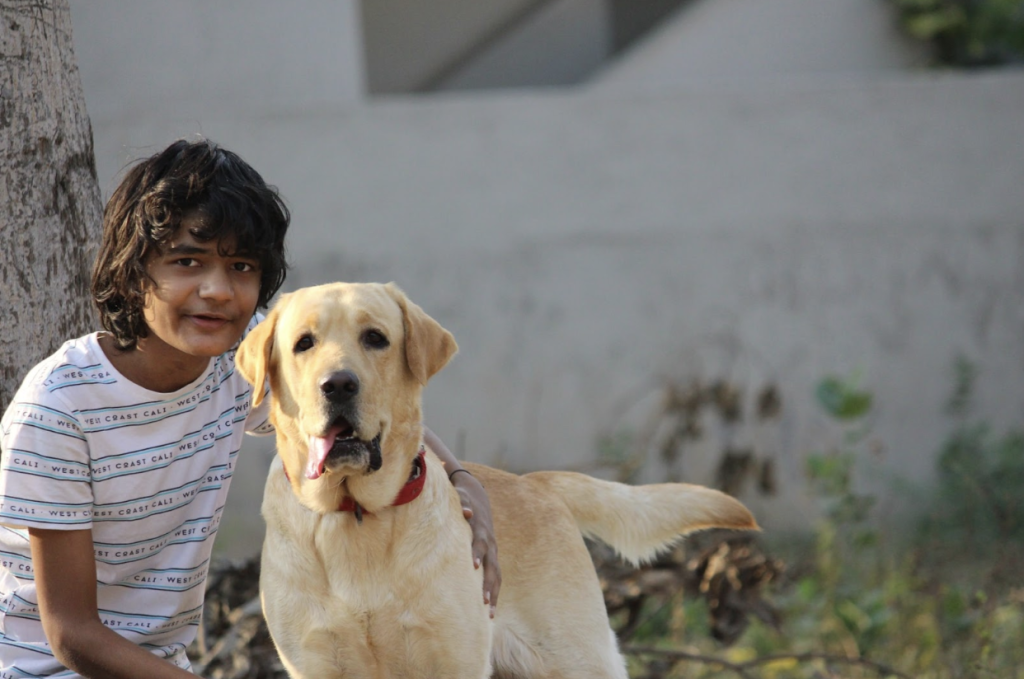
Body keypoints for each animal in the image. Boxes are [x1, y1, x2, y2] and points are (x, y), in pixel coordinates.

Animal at [235, 282, 757, 679]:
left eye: (375, 338)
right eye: (304, 343)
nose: (338, 384)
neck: (356, 513)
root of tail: (537, 483)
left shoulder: (451, 660)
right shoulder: (317, 663)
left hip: (575, 659)